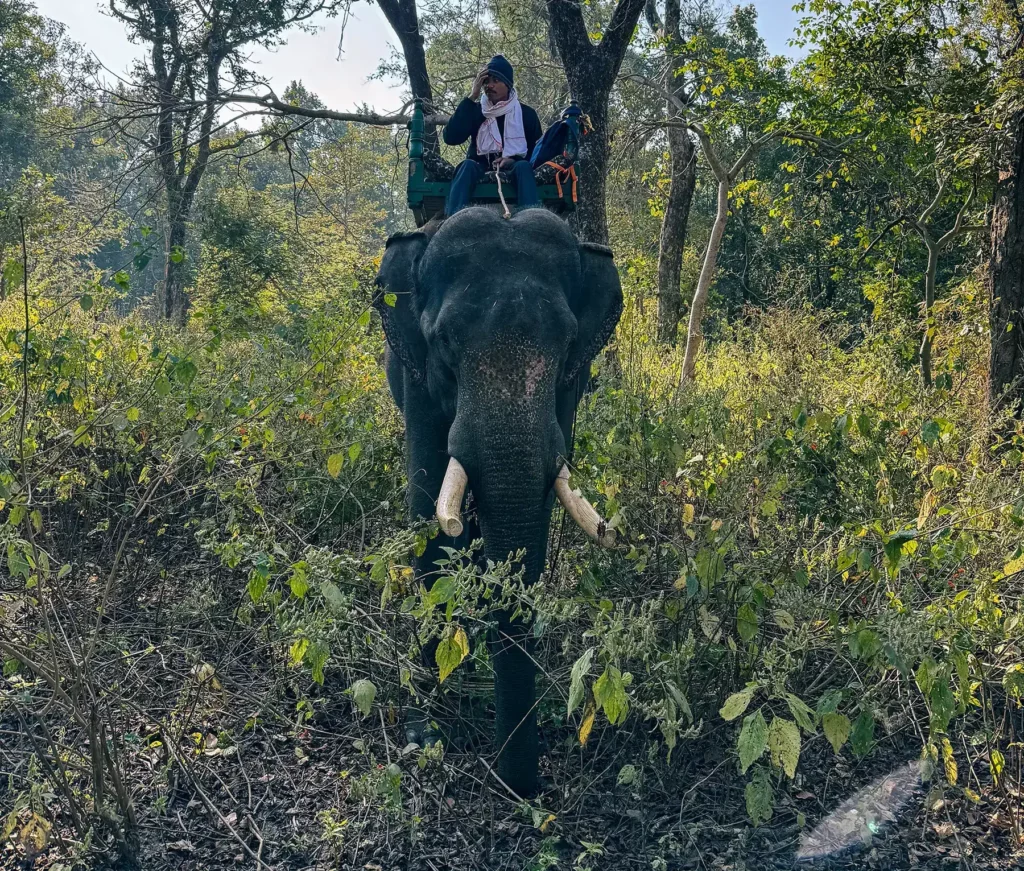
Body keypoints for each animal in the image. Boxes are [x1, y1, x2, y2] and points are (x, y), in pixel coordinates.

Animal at [373, 206, 623, 797]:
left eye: (568, 342)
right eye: (444, 341)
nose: (522, 787)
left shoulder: (569, 391)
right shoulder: (419, 381)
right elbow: (428, 515)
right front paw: (427, 730)